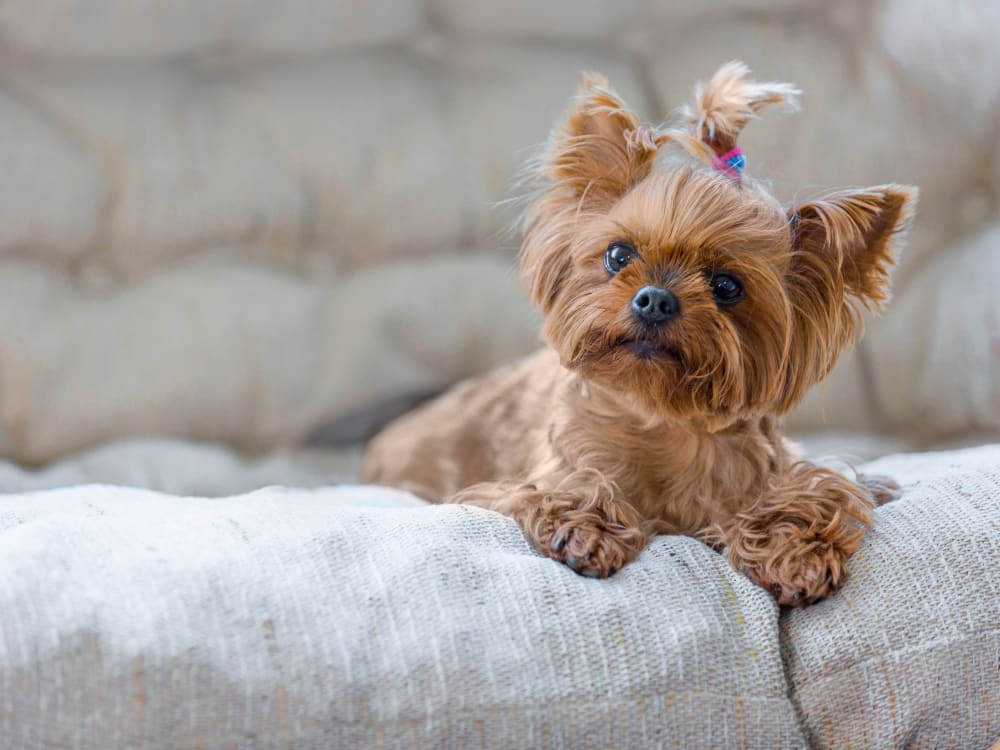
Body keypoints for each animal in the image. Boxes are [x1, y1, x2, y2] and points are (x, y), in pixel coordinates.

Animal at [364, 61, 916, 608]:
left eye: (727, 286)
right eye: (618, 255)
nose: (655, 299)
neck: (662, 420)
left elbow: (819, 490)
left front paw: (795, 550)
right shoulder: (529, 477)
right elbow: (568, 488)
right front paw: (586, 528)